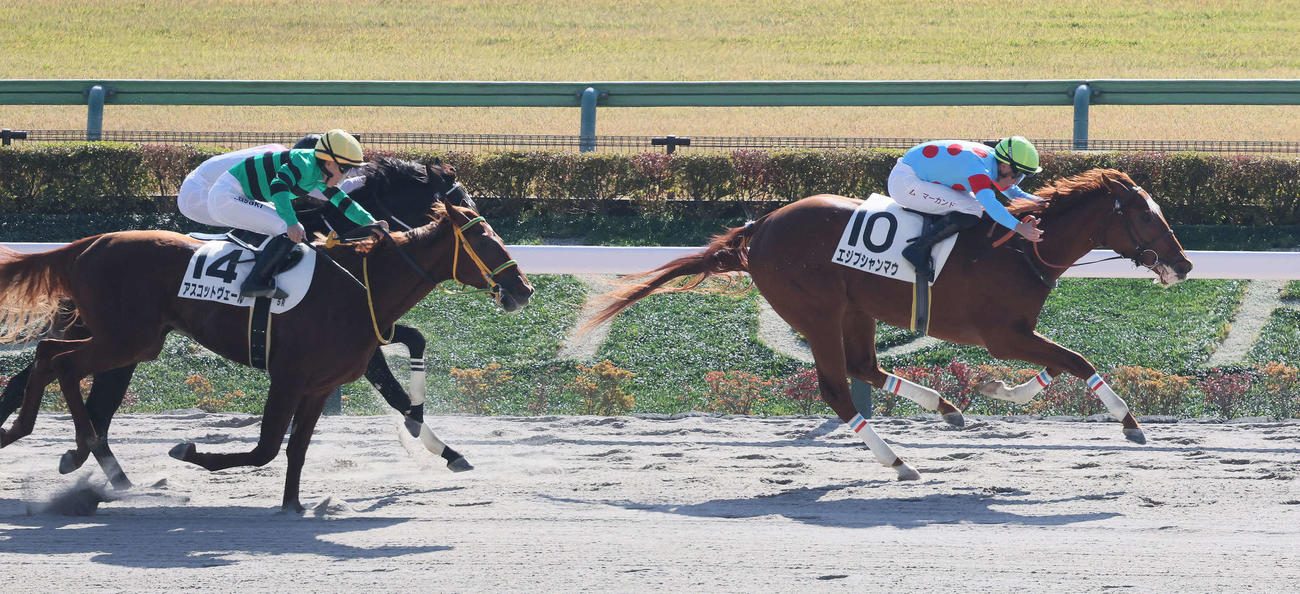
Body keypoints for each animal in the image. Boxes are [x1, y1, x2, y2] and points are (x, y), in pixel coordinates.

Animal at [0, 197, 533, 512]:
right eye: (484, 239)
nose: (523, 289)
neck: (360, 285)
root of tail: (85, 245)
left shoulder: (320, 383)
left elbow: (296, 447)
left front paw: (294, 504)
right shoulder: (289, 376)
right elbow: (266, 448)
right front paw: (188, 450)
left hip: (127, 340)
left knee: (49, 355)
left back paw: (52, 443)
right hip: (126, 340)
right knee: (61, 363)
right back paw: (69, 446)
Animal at [589, 168, 1193, 481]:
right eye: (1147, 216)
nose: (1184, 264)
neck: (1021, 249)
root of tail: (759, 227)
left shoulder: (1015, 331)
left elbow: (1062, 365)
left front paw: (997, 391)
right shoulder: (1003, 333)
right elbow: (1077, 361)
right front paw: (1130, 423)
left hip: (856, 308)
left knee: (865, 366)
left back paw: (945, 408)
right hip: (815, 311)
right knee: (838, 387)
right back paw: (898, 461)